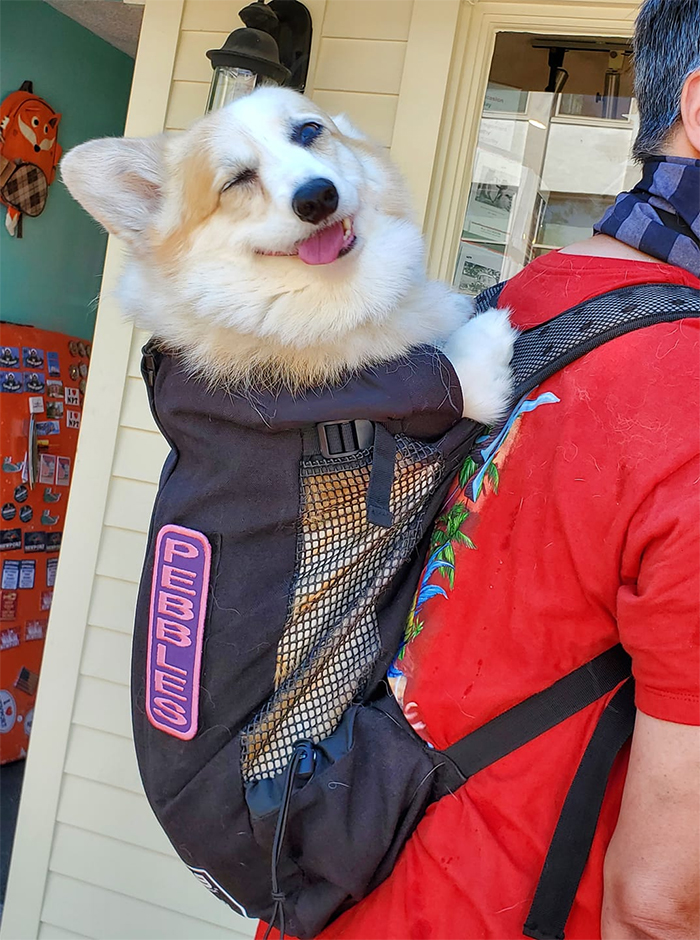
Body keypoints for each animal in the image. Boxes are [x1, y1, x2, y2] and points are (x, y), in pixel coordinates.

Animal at [61, 86, 516, 424]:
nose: (317, 198)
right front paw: (492, 325)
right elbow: (466, 366)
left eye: (309, 131)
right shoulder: (448, 388)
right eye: (237, 180)